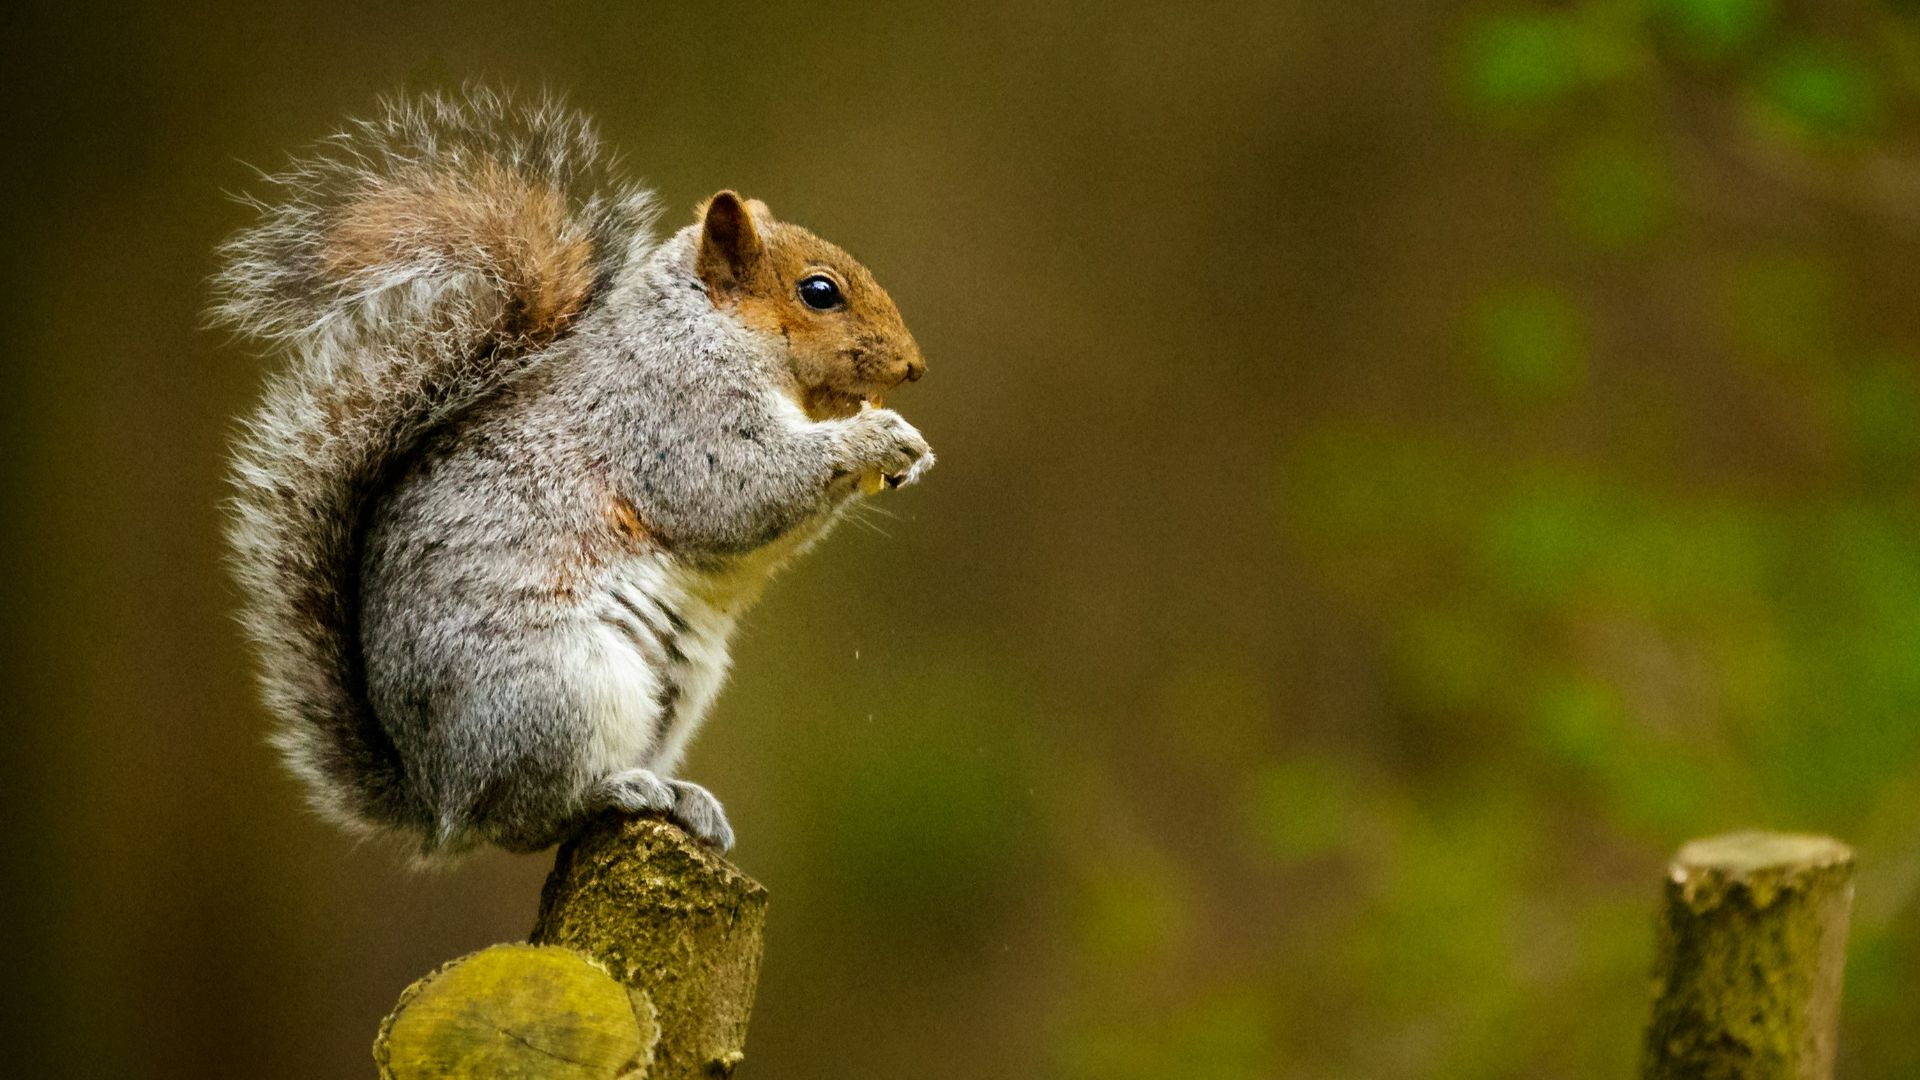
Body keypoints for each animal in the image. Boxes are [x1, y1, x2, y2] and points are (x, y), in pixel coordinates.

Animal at [213, 89, 933, 857]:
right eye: (819, 291)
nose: (914, 366)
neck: (709, 327)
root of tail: (438, 796)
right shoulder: (673, 417)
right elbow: (741, 491)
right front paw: (876, 436)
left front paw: (907, 452)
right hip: (563, 688)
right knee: (528, 818)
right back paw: (616, 791)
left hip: (675, 692)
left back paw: (685, 799)